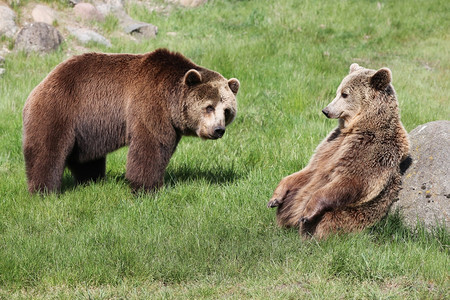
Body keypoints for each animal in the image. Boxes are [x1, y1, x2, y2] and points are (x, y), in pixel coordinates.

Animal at [22, 48, 239, 193]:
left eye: (227, 110)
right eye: (209, 107)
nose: (218, 129)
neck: (170, 99)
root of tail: (42, 83)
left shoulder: (170, 121)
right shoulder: (149, 105)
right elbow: (150, 146)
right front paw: (146, 187)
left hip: (87, 129)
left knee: (86, 158)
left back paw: (91, 180)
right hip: (60, 110)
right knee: (48, 149)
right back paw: (44, 189)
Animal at [268, 62, 412, 239]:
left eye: (345, 94)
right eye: (337, 91)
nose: (326, 110)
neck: (357, 126)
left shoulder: (371, 150)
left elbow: (350, 181)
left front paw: (307, 212)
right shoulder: (331, 144)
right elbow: (310, 169)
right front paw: (274, 198)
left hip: (350, 215)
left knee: (327, 222)